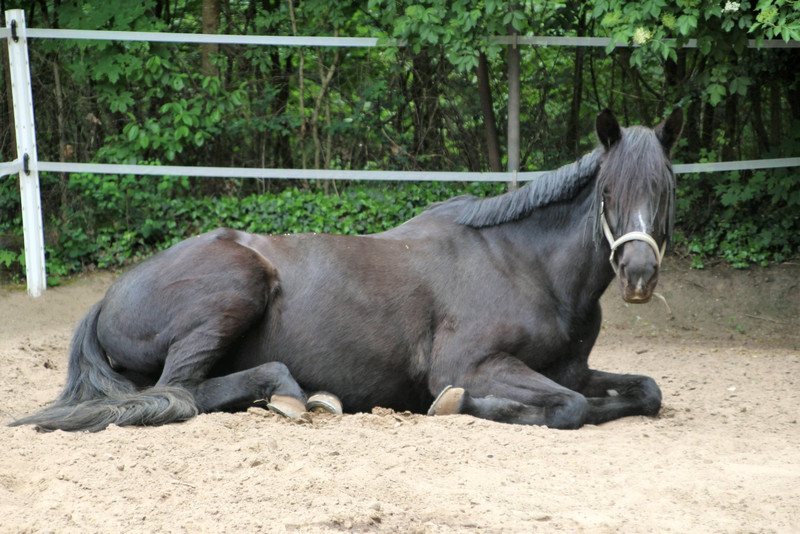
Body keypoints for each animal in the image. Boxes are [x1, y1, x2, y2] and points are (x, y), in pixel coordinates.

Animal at [7, 108, 680, 432]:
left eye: (666, 188)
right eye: (610, 191)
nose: (639, 275)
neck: (523, 264)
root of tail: (109, 298)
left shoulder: (575, 368)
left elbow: (642, 392)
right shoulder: (471, 364)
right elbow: (566, 407)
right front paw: (462, 406)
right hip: (236, 286)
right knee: (181, 391)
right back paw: (289, 394)